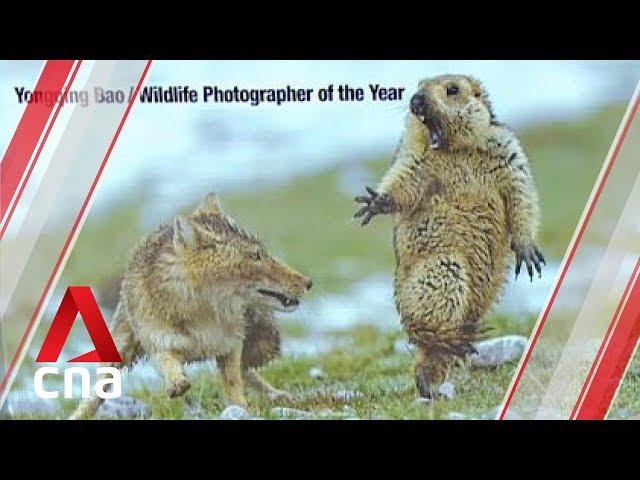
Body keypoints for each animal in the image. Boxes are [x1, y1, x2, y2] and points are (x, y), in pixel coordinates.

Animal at [72, 193, 312, 418]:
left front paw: (241, 409)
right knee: (97, 391)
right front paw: (177, 383)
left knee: (247, 371)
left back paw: (279, 396)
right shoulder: (160, 344)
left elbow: (233, 383)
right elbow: (168, 364)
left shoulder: (231, 345)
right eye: (256, 256)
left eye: (263, 252)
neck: (204, 314)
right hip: (119, 350)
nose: (308, 282)